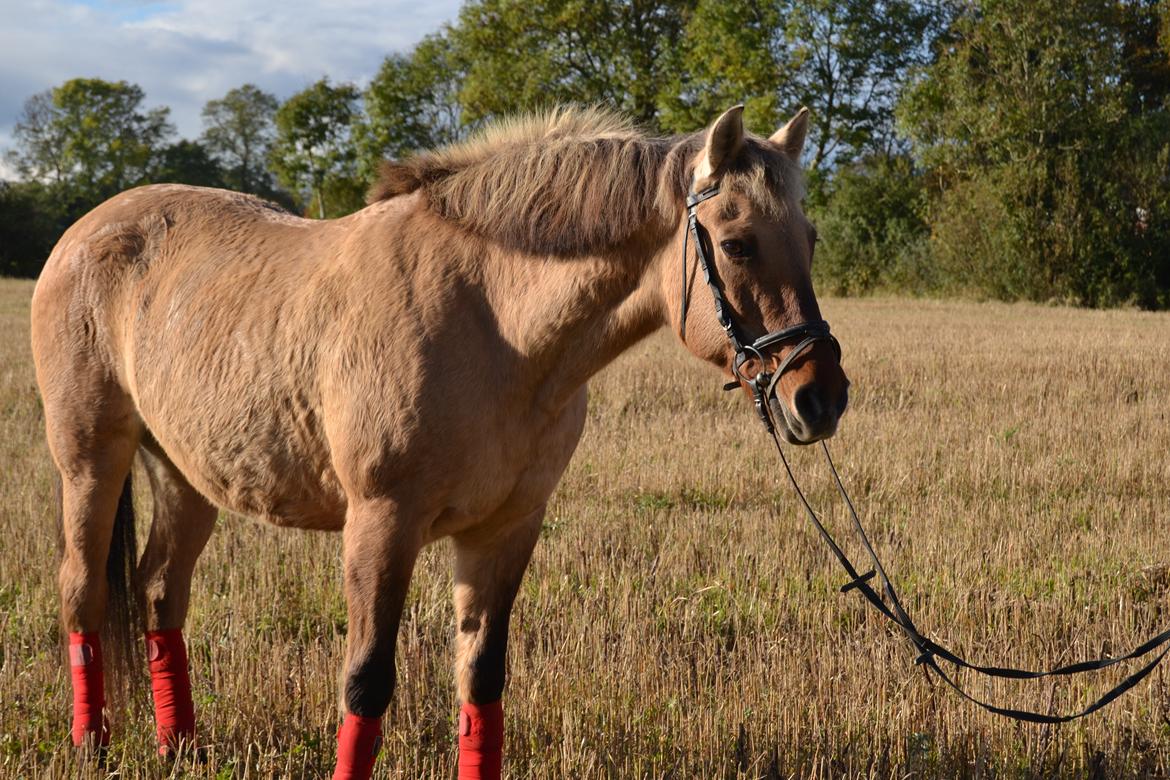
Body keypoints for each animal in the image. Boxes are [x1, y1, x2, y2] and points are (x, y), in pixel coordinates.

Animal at [29, 105, 851, 780]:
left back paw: (179, 748)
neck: (492, 319)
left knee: (159, 594)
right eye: (738, 245)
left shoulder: (505, 530)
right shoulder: (380, 526)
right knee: (82, 592)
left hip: (188, 473)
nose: (821, 396)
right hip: (89, 459)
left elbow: (481, 680)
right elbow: (366, 685)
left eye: (811, 238)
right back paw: (91, 746)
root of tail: (87, 230)